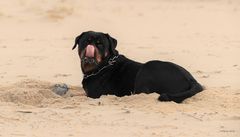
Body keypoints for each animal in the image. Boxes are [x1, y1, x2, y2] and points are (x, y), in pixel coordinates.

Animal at [72, 30, 202, 101]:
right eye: (86, 42)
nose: (91, 46)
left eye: (100, 44)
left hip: (147, 69)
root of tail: (191, 80)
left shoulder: (94, 95)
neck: (102, 66)